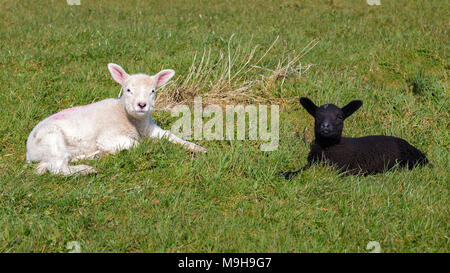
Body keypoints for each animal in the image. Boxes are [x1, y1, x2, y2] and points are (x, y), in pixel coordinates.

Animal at [26, 63, 206, 175]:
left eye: (153, 91)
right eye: (128, 90)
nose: (142, 105)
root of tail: (29, 151)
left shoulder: (150, 128)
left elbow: (170, 135)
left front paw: (197, 148)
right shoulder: (107, 137)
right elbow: (136, 144)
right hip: (51, 138)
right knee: (58, 168)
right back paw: (88, 169)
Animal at [280, 96, 430, 177]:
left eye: (340, 117)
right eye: (316, 116)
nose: (325, 127)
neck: (328, 148)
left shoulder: (345, 169)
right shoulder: (312, 162)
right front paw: (285, 174)